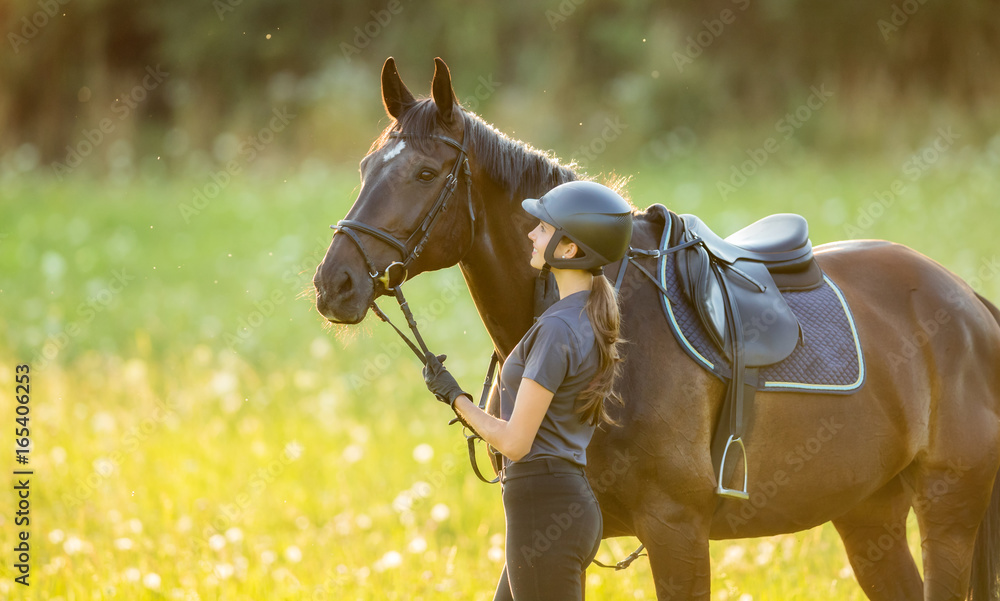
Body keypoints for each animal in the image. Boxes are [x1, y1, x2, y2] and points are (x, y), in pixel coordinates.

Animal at [314, 57, 1000, 600]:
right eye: (367, 167)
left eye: (425, 174)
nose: (334, 284)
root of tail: (967, 302)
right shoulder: (542, 535)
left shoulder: (676, 532)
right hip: (867, 514)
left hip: (947, 511)